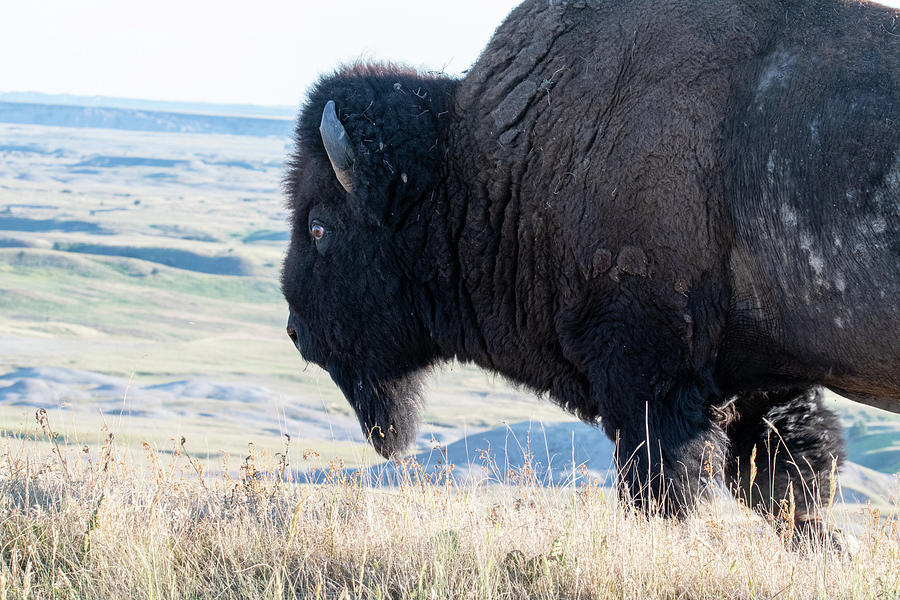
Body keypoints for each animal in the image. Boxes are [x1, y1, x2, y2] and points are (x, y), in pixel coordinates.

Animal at [282, 0, 900, 540]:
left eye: (318, 227)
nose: (295, 330)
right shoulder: (753, 378)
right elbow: (785, 486)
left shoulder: (649, 373)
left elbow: (667, 491)